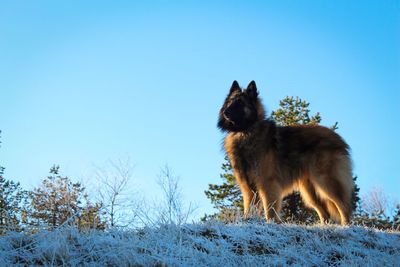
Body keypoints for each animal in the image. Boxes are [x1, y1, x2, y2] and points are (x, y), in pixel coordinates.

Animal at [219, 80, 354, 225]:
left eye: (240, 103)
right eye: (230, 102)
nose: (226, 112)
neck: (245, 132)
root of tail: (338, 138)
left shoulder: (267, 182)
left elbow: (270, 209)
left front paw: (271, 223)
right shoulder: (248, 187)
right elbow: (249, 207)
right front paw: (248, 219)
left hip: (325, 181)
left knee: (344, 206)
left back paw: (346, 225)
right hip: (310, 190)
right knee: (325, 212)